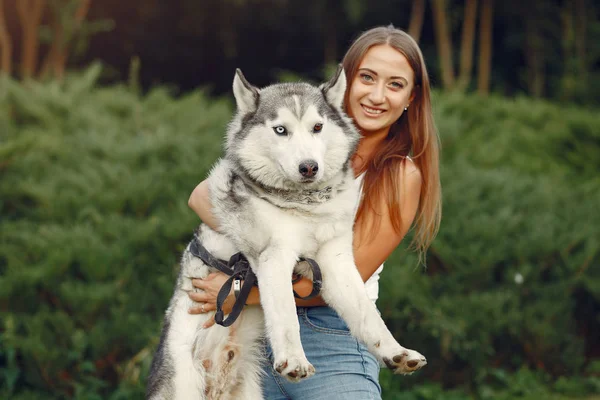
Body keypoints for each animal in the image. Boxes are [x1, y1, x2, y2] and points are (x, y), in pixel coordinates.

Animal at [146, 67, 426, 398]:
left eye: (317, 127)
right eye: (281, 130)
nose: (309, 167)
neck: (305, 205)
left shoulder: (335, 260)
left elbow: (368, 314)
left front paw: (397, 352)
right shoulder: (274, 256)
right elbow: (288, 315)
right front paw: (293, 360)